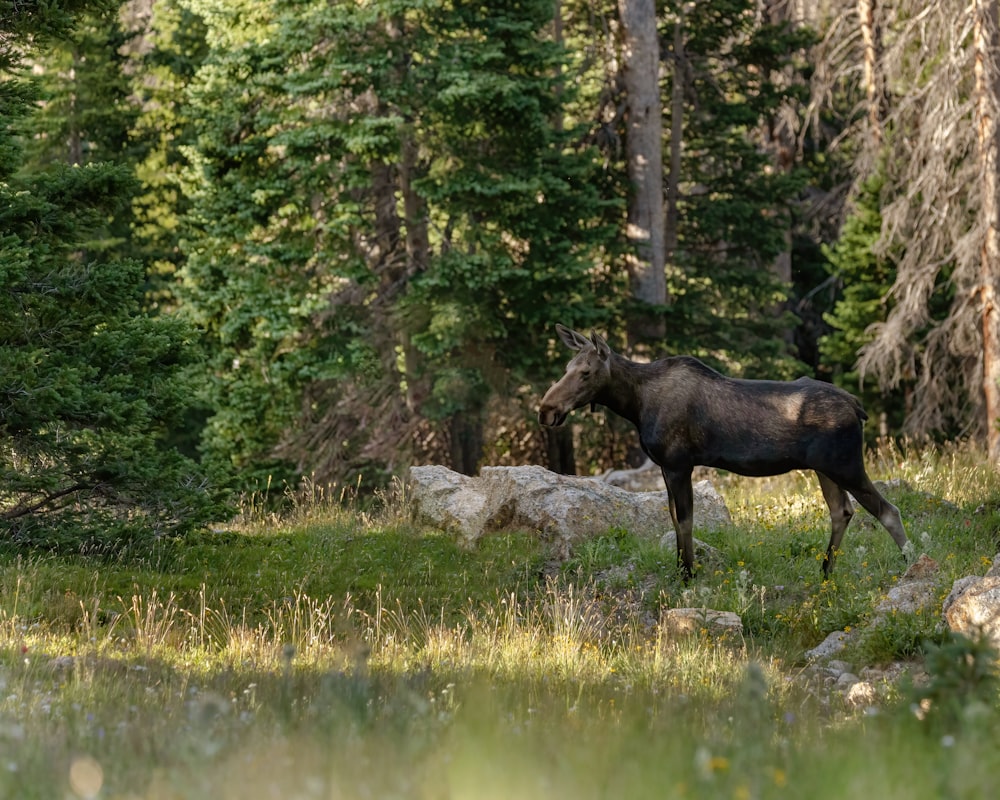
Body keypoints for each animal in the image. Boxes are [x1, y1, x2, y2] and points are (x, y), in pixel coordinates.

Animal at [540, 322, 908, 580]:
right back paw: (826, 572)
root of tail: (858, 407)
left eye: (586, 372)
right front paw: (681, 569)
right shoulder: (665, 466)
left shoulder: (678, 463)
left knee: (888, 511)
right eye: (566, 368)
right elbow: (674, 518)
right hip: (825, 468)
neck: (634, 404)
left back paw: (910, 566)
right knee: (842, 512)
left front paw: (688, 575)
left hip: (846, 464)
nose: (546, 410)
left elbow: (685, 520)